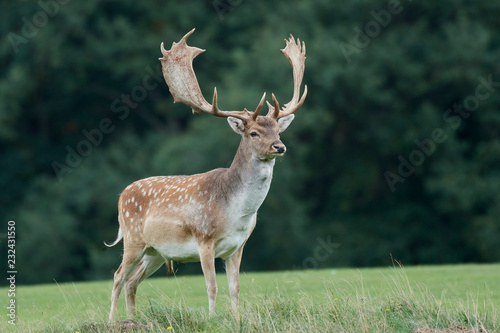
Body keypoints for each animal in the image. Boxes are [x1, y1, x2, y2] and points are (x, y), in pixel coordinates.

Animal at [107, 29, 306, 322]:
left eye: (278, 131)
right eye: (253, 133)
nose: (279, 147)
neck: (236, 212)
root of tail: (122, 195)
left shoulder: (238, 246)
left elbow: (235, 287)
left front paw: (236, 318)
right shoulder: (204, 239)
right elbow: (211, 286)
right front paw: (212, 318)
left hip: (155, 251)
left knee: (132, 281)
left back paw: (134, 319)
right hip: (133, 238)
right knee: (118, 276)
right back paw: (113, 320)